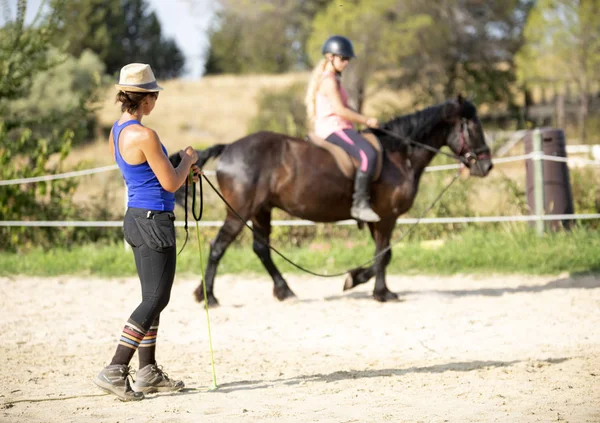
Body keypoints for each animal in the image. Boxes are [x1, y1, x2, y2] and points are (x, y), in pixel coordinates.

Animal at [183, 97, 492, 306]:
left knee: (261, 249)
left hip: (261, 211)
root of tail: (229, 148)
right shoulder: (387, 217)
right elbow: (384, 254)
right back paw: (209, 296)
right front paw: (377, 291)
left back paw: (284, 291)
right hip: (240, 212)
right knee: (218, 247)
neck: (398, 154)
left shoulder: (377, 220)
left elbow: (384, 255)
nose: (486, 166)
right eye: (473, 126)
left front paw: (361, 281)